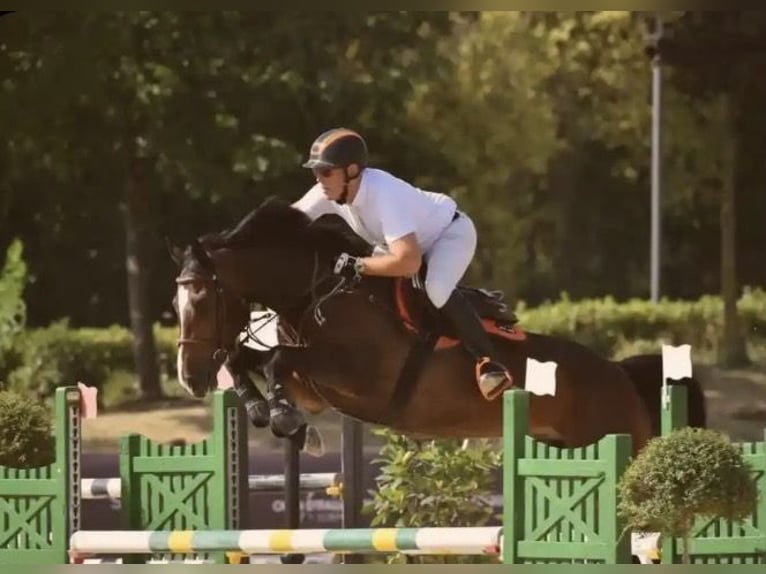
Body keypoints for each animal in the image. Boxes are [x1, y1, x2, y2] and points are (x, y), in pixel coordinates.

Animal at [170, 196, 657, 454]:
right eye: (175, 301)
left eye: (201, 299)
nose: (189, 378)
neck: (315, 295)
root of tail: (618, 372)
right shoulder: (314, 388)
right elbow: (246, 358)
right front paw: (266, 412)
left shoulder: (359, 378)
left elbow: (273, 357)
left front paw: (285, 421)